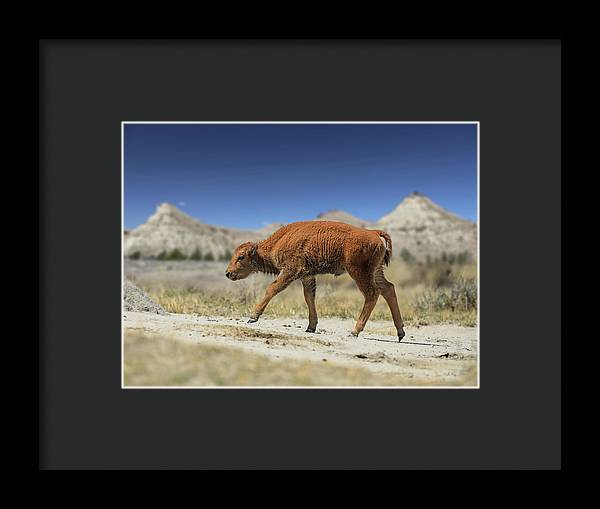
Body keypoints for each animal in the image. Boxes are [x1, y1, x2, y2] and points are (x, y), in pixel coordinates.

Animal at [226, 219, 408, 342]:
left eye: (241, 257)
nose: (228, 273)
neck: (278, 242)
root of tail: (373, 232)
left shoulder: (291, 271)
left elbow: (272, 288)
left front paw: (253, 317)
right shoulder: (307, 276)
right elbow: (309, 298)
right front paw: (311, 327)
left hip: (359, 272)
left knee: (372, 293)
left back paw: (355, 331)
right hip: (376, 272)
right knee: (388, 289)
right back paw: (400, 332)